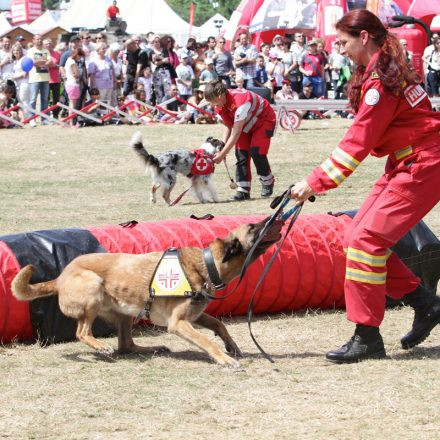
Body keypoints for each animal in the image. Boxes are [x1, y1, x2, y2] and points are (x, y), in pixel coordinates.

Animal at [12, 220, 282, 368]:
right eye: (253, 228)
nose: (275, 218)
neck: (206, 265)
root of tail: (59, 277)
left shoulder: (194, 316)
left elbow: (218, 324)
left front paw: (231, 346)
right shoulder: (178, 323)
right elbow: (205, 340)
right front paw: (224, 359)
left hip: (124, 313)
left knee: (126, 345)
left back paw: (151, 348)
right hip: (93, 286)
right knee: (83, 333)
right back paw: (100, 345)